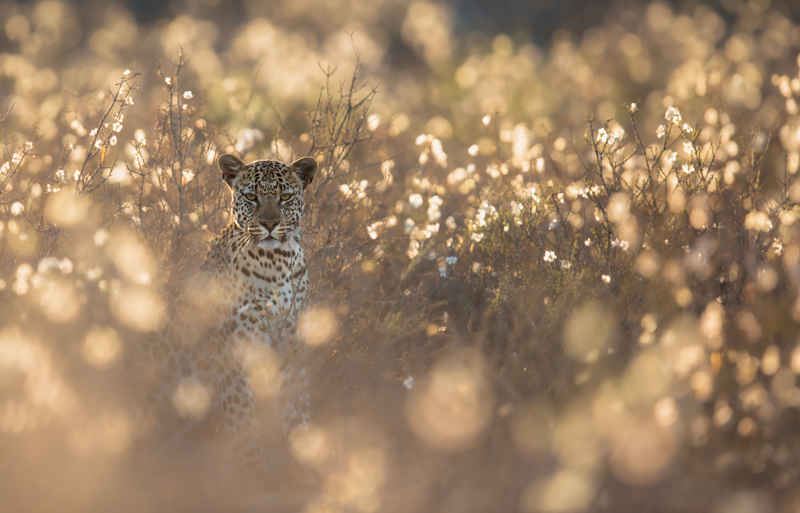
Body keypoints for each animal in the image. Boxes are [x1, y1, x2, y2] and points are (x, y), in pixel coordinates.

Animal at [135, 153, 318, 487]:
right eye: (251, 196)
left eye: (285, 197)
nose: (270, 224)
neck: (277, 262)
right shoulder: (231, 343)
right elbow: (241, 412)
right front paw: (254, 471)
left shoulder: (292, 342)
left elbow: (297, 404)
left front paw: (304, 463)